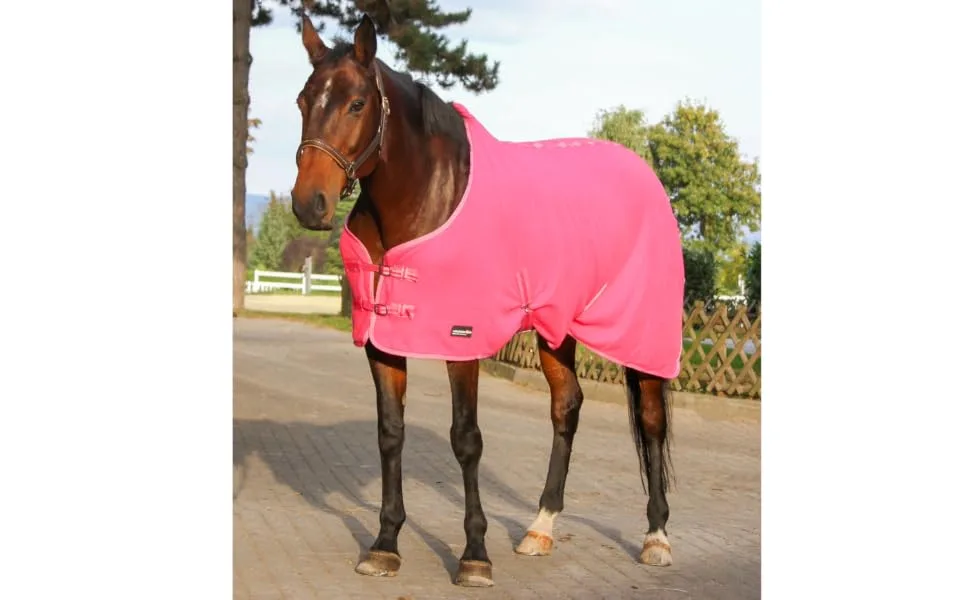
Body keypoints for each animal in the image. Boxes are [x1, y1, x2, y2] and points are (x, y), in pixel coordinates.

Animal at [289, 14, 685, 588]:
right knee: (567, 407)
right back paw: (541, 528)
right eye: (303, 100)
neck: (426, 196)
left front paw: (474, 554)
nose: (309, 204)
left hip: (640, 332)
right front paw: (385, 544)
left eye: (357, 103)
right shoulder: (383, 343)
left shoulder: (463, 342)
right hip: (556, 329)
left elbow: (466, 438)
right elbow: (390, 434)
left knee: (652, 421)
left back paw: (656, 537)